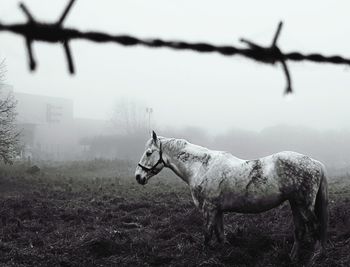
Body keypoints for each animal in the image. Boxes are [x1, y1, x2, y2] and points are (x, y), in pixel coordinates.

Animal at [135, 132, 328, 262]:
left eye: (149, 152)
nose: (138, 177)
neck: (202, 166)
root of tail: (315, 163)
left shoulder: (209, 209)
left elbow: (207, 235)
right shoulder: (218, 210)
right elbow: (220, 235)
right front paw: (225, 254)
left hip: (304, 205)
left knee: (315, 227)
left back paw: (316, 256)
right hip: (295, 204)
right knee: (300, 230)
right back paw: (292, 257)